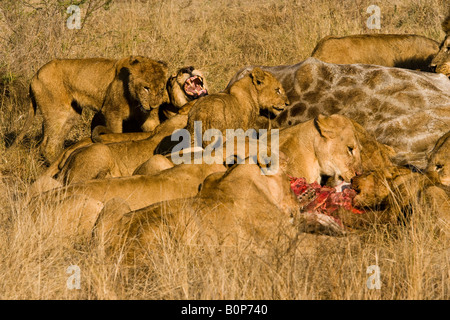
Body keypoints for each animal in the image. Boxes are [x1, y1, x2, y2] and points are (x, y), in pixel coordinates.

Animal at [11, 55, 169, 162]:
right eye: (146, 88)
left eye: (162, 88)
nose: (154, 106)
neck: (135, 99)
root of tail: (35, 75)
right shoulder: (112, 113)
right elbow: (115, 134)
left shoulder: (149, 117)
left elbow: (154, 130)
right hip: (58, 111)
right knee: (46, 145)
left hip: (71, 115)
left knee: (56, 141)